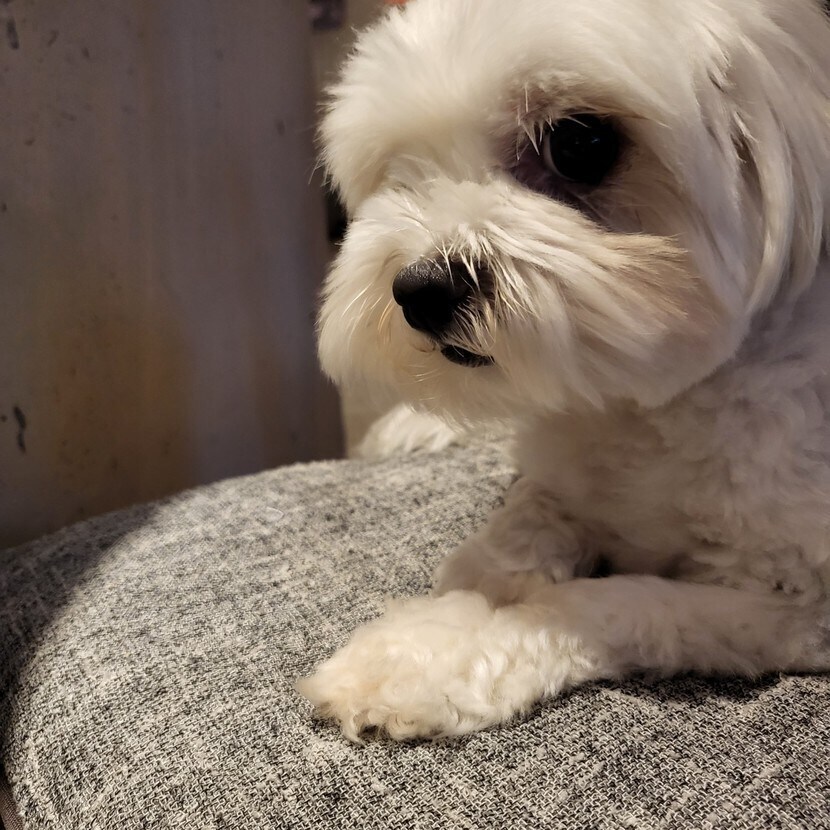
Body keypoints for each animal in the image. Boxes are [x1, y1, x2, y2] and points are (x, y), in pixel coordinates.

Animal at [297, 0, 830, 741]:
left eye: (580, 143)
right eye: (401, 170)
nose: (419, 290)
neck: (643, 406)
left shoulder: (792, 603)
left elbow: (609, 602)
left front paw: (432, 654)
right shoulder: (558, 469)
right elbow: (523, 519)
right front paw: (468, 591)